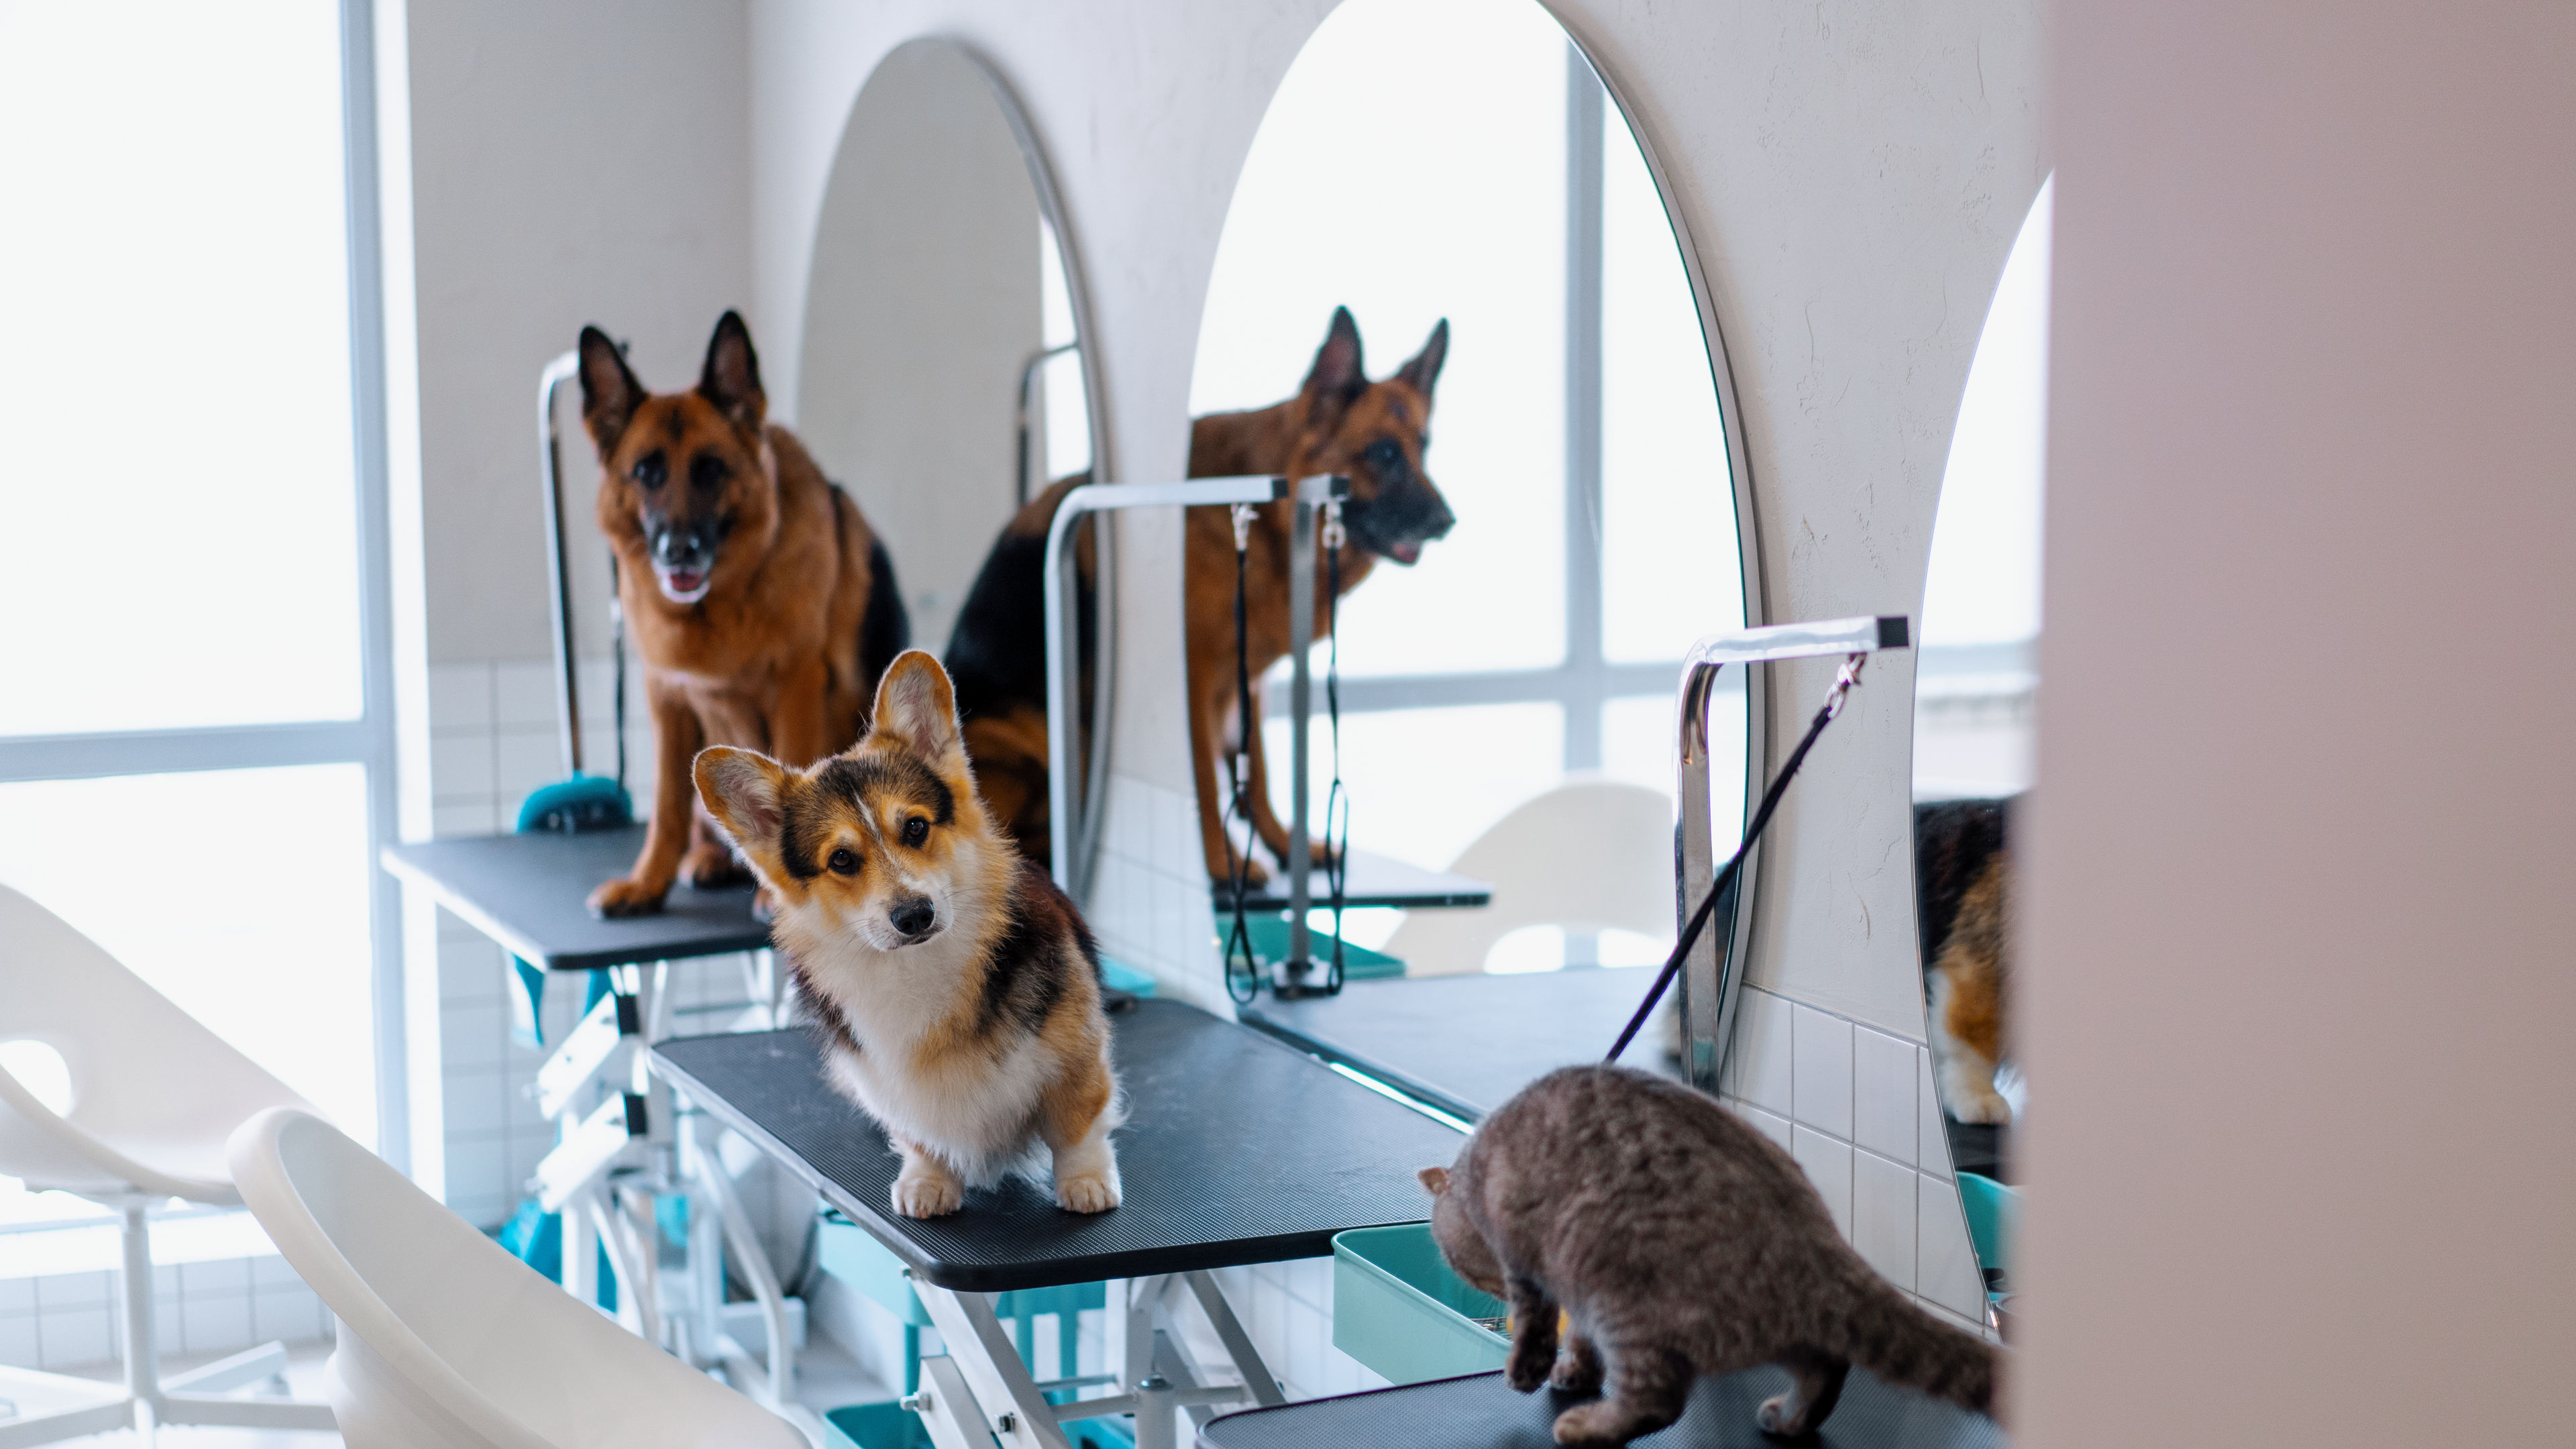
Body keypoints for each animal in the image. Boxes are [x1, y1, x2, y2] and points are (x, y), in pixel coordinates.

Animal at [580, 312, 912, 912]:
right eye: (646, 472)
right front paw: (647, 884)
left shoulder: (797, 686)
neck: (725, 600)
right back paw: (708, 860)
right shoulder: (666, 700)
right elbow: (665, 805)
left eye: (711, 469)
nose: (679, 550)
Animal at [690, 649, 1123, 1212]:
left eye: (916, 827)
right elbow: (920, 1136)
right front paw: (928, 1182)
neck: (916, 967)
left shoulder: (1076, 1056)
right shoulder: (888, 1085)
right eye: (842, 859)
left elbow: (1078, 1123)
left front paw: (1086, 1182)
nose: (915, 915)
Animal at [943, 307, 1463, 881]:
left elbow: (1259, 775)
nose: (1447, 523)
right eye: (1385, 452)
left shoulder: (1247, 683)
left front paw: (1285, 846)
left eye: (1424, 447)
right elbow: (1206, 787)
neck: (1266, 528)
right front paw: (1221, 863)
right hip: (1019, 741)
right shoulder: (1194, 683)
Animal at [1432, 1062, 1988, 1433]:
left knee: (1657, 1401)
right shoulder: (1567, 1291)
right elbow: (1580, 1341)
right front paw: (1575, 1371)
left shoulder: (1529, 1269)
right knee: (1828, 1366)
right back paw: (1790, 1420)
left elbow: (1536, 1330)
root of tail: (1818, 1246)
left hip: (1624, 1303)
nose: (1489, 1297)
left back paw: (1587, 1428)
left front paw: (1529, 1372)